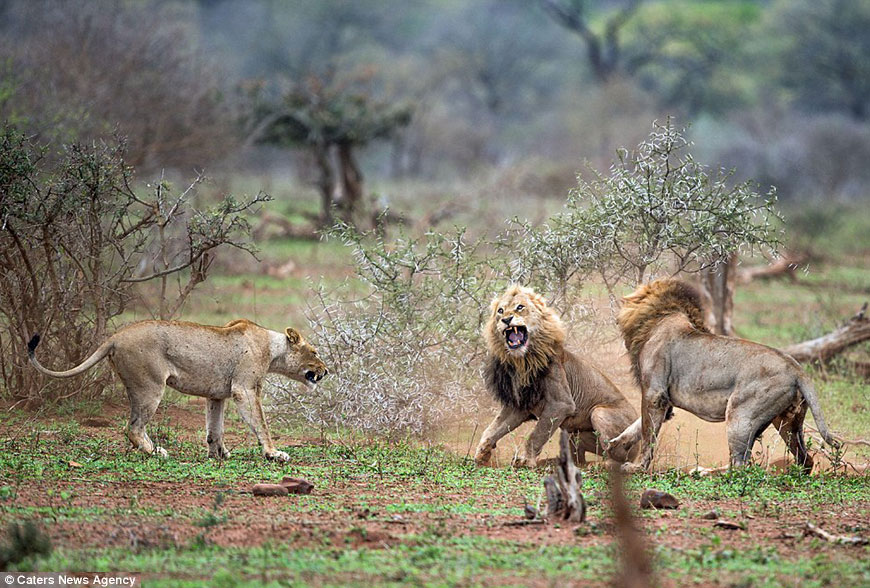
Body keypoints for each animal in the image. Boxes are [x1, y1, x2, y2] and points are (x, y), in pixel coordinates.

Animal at [28, 320, 328, 462]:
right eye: (314, 352)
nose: (327, 371)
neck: (272, 348)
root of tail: (114, 337)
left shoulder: (216, 395)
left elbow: (214, 429)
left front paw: (219, 454)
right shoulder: (244, 389)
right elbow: (262, 425)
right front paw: (274, 454)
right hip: (150, 387)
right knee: (133, 427)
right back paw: (155, 451)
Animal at [476, 284, 640, 468]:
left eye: (520, 307)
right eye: (500, 310)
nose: (506, 320)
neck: (523, 362)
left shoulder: (561, 403)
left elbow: (536, 435)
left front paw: (526, 461)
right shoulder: (520, 405)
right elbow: (493, 428)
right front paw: (482, 453)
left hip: (600, 414)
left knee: (615, 458)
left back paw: (601, 465)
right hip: (573, 433)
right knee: (578, 458)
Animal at [612, 280, 836, 474]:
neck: (661, 317)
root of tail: (796, 369)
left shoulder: (655, 393)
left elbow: (647, 432)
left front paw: (636, 467)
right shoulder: (664, 400)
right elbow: (637, 425)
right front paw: (614, 444)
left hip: (740, 414)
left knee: (740, 466)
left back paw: (702, 472)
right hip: (787, 421)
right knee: (805, 460)